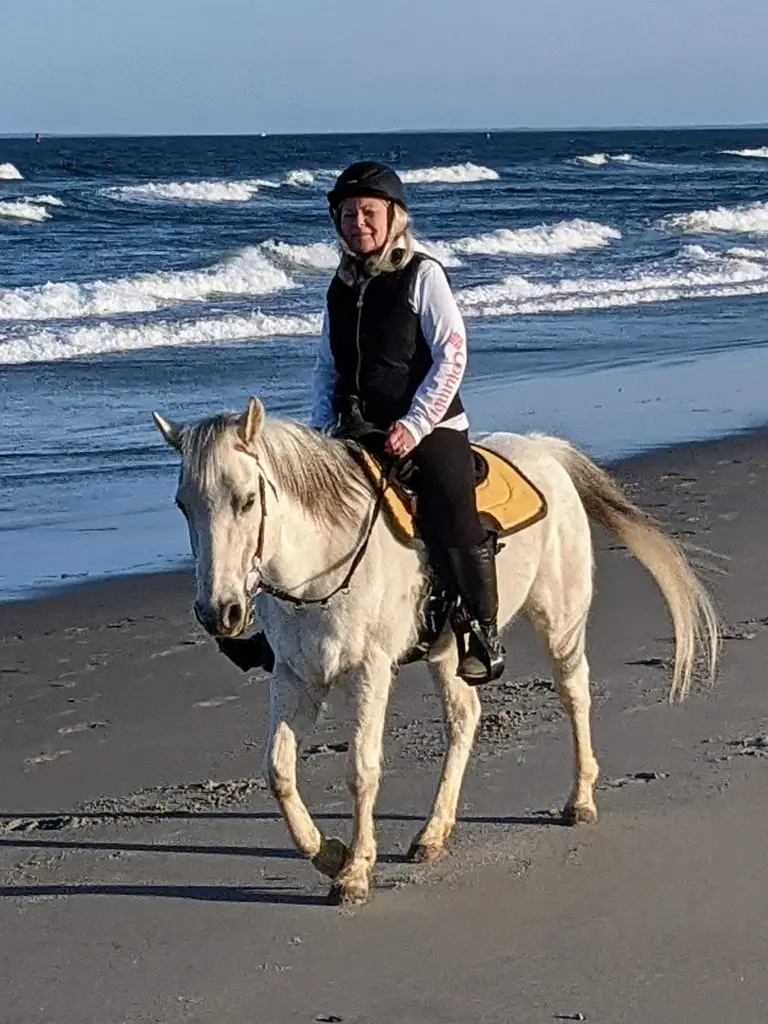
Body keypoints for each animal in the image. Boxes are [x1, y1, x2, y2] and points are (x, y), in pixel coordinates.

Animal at [153, 397, 719, 906]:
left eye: (247, 499)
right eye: (183, 504)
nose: (219, 612)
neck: (321, 567)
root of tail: (545, 450)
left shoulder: (370, 670)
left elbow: (361, 768)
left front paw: (355, 872)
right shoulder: (295, 676)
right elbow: (277, 770)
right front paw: (328, 853)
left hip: (560, 621)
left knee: (574, 694)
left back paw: (579, 801)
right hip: (450, 651)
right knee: (465, 716)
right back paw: (433, 833)